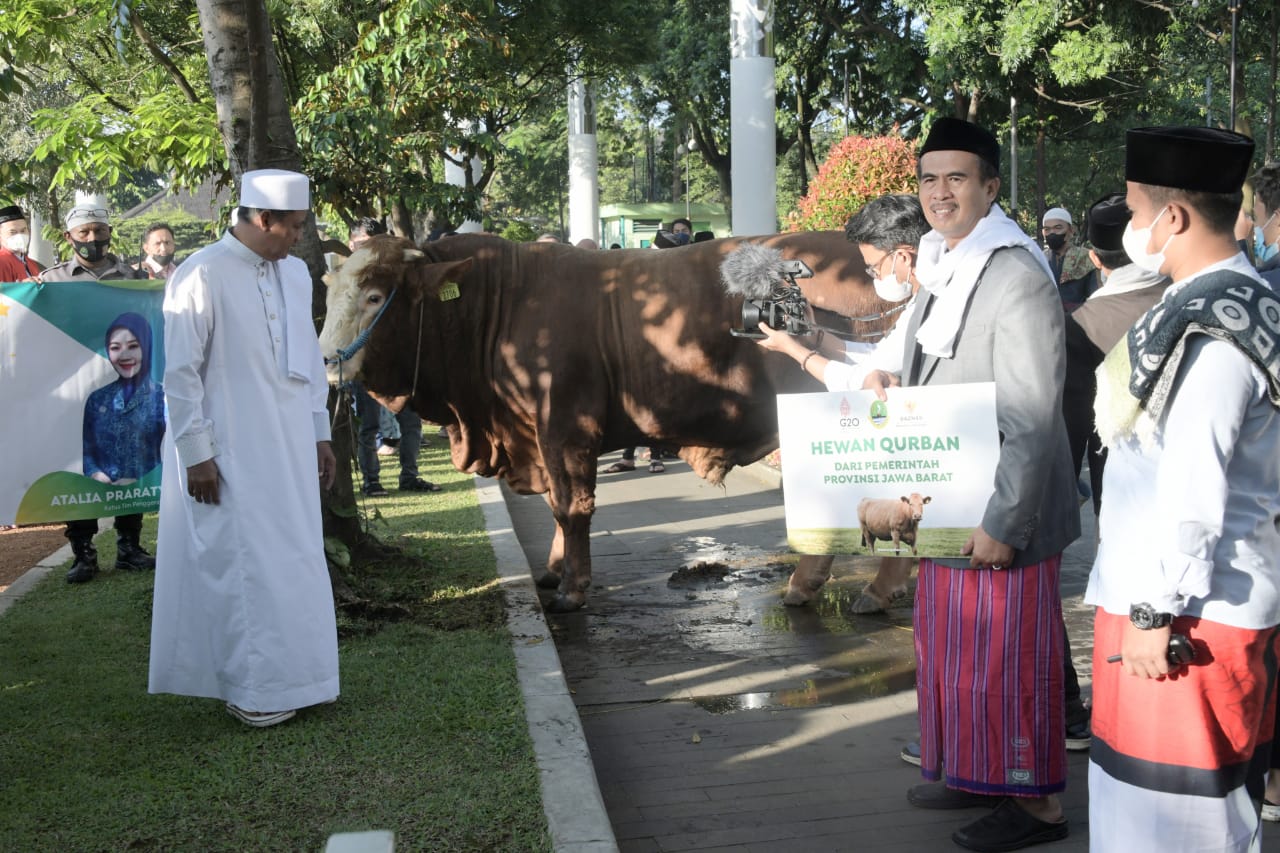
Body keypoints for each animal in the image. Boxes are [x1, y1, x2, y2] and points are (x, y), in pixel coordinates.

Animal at [317, 229, 901, 607]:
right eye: (328, 291)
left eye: (374, 295)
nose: (323, 360)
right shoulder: (539, 432)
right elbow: (555, 506)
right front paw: (554, 571)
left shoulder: (565, 425)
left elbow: (571, 506)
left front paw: (574, 587)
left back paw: (849, 587)